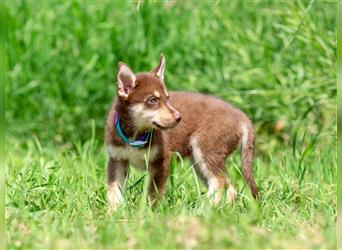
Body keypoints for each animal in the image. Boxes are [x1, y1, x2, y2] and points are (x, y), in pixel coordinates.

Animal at [105, 54, 258, 211]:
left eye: (167, 98)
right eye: (153, 100)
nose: (179, 117)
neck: (135, 135)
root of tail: (242, 116)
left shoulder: (161, 161)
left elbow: (153, 193)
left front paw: (151, 212)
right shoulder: (117, 160)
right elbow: (113, 192)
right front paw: (113, 213)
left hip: (206, 150)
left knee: (219, 181)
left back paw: (203, 209)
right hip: (201, 162)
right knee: (230, 186)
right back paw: (223, 210)